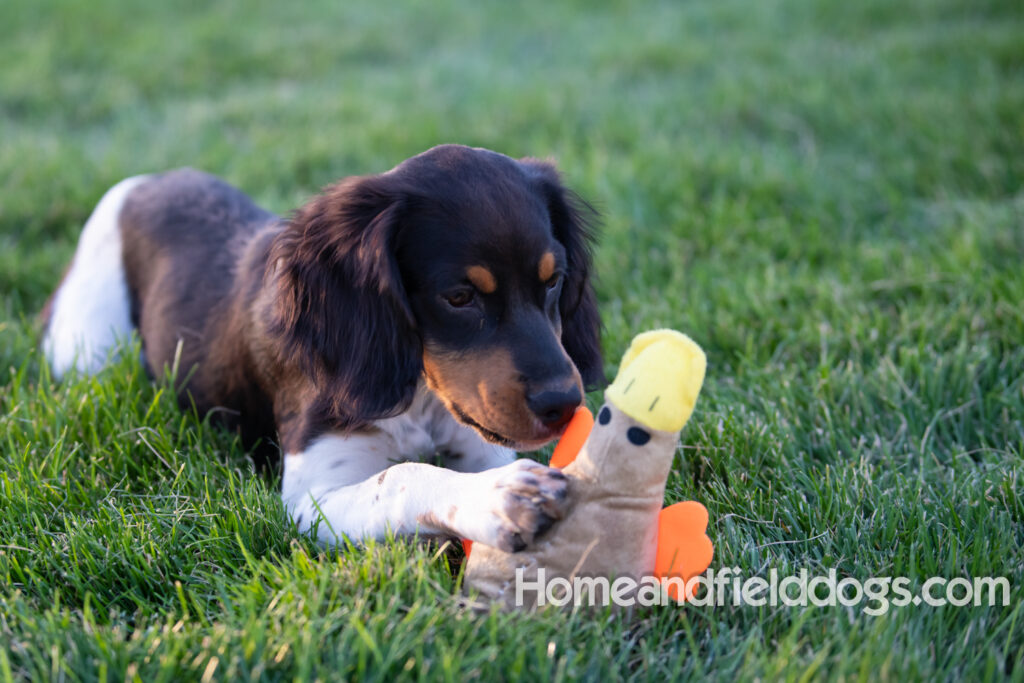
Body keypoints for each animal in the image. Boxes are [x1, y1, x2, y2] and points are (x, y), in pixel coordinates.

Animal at [41, 145, 598, 557]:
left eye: (554, 280)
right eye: (459, 298)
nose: (564, 404)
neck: (418, 393)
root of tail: (143, 182)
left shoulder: (482, 442)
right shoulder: (311, 501)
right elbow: (401, 475)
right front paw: (497, 498)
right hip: (88, 352)